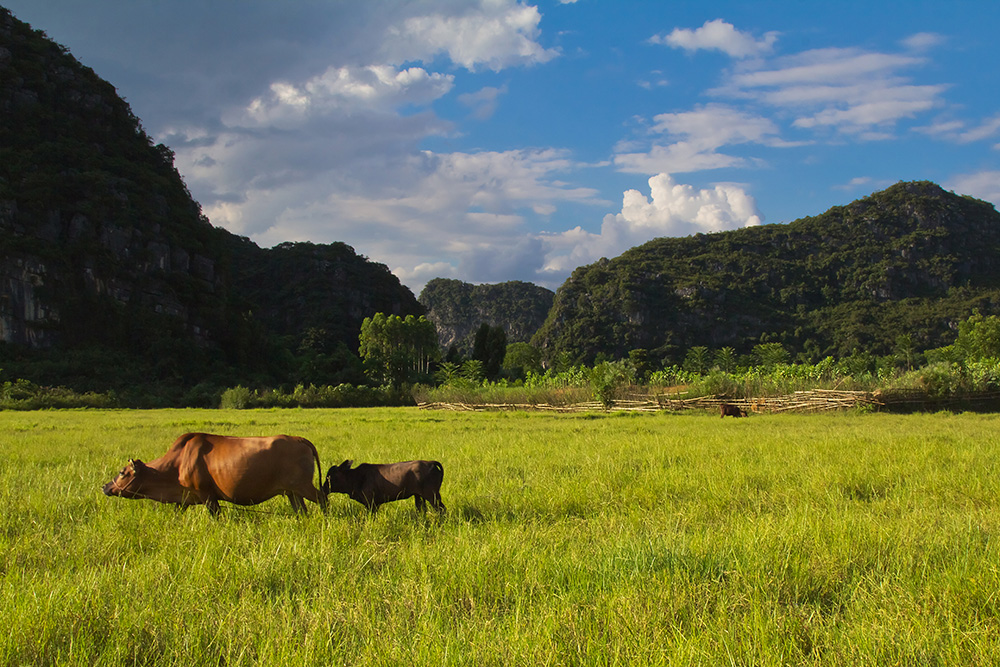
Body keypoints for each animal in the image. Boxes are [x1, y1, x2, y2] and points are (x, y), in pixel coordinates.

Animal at [100, 434, 324, 516]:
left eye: (122, 472)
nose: (105, 486)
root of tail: (299, 439)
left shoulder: (207, 495)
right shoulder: (184, 498)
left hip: (304, 487)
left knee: (322, 497)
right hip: (292, 492)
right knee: (301, 510)